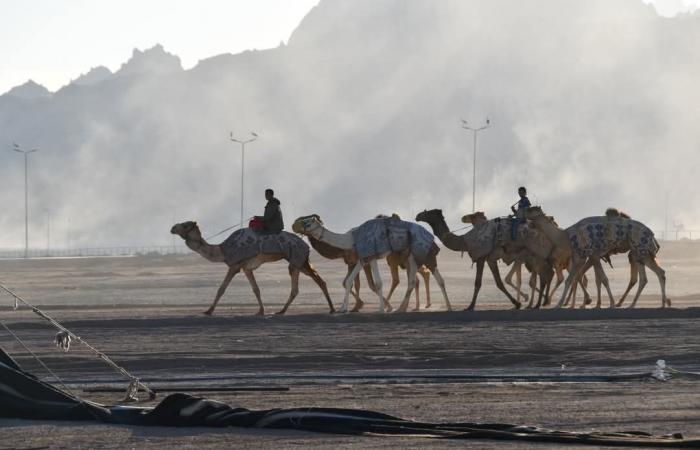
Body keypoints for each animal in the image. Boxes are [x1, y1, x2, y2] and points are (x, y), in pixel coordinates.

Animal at [170, 222, 334, 316]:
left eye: (185, 225)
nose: (172, 228)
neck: (222, 249)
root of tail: (306, 245)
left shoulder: (235, 265)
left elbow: (221, 288)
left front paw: (208, 311)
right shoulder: (246, 268)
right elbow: (256, 289)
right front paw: (261, 311)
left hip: (298, 258)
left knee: (318, 281)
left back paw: (332, 309)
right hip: (297, 262)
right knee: (300, 287)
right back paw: (281, 311)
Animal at [292, 214, 448, 312]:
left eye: (308, 223)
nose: (294, 226)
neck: (351, 238)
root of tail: (429, 234)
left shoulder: (369, 255)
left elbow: (376, 283)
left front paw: (381, 309)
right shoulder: (365, 258)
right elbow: (349, 281)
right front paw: (343, 308)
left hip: (419, 252)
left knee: (431, 278)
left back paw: (446, 306)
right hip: (410, 255)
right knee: (415, 280)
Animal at [528, 207, 668, 310]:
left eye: (532, 210)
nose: (527, 223)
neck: (565, 236)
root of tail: (651, 234)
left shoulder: (589, 255)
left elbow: (596, 279)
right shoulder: (586, 256)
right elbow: (586, 279)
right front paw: (591, 303)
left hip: (640, 250)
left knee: (645, 276)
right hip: (640, 253)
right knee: (654, 274)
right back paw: (657, 304)